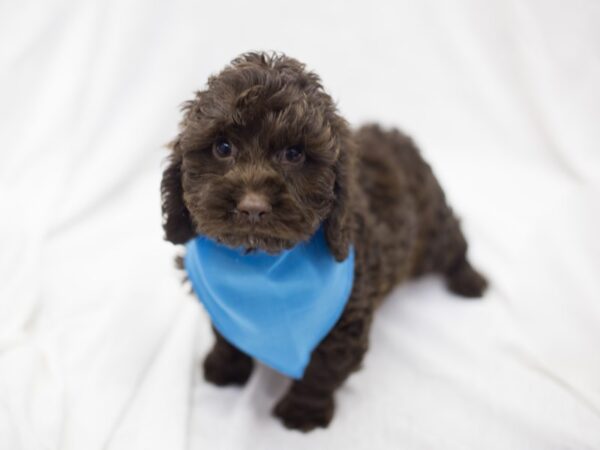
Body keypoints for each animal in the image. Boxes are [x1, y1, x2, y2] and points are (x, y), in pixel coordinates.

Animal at [161, 51, 488, 432]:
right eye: (222, 147)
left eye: (294, 154)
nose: (252, 207)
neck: (259, 264)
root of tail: (398, 136)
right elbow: (226, 333)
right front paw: (225, 367)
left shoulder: (350, 314)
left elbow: (324, 367)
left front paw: (303, 411)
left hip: (431, 231)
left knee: (454, 244)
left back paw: (470, 280)